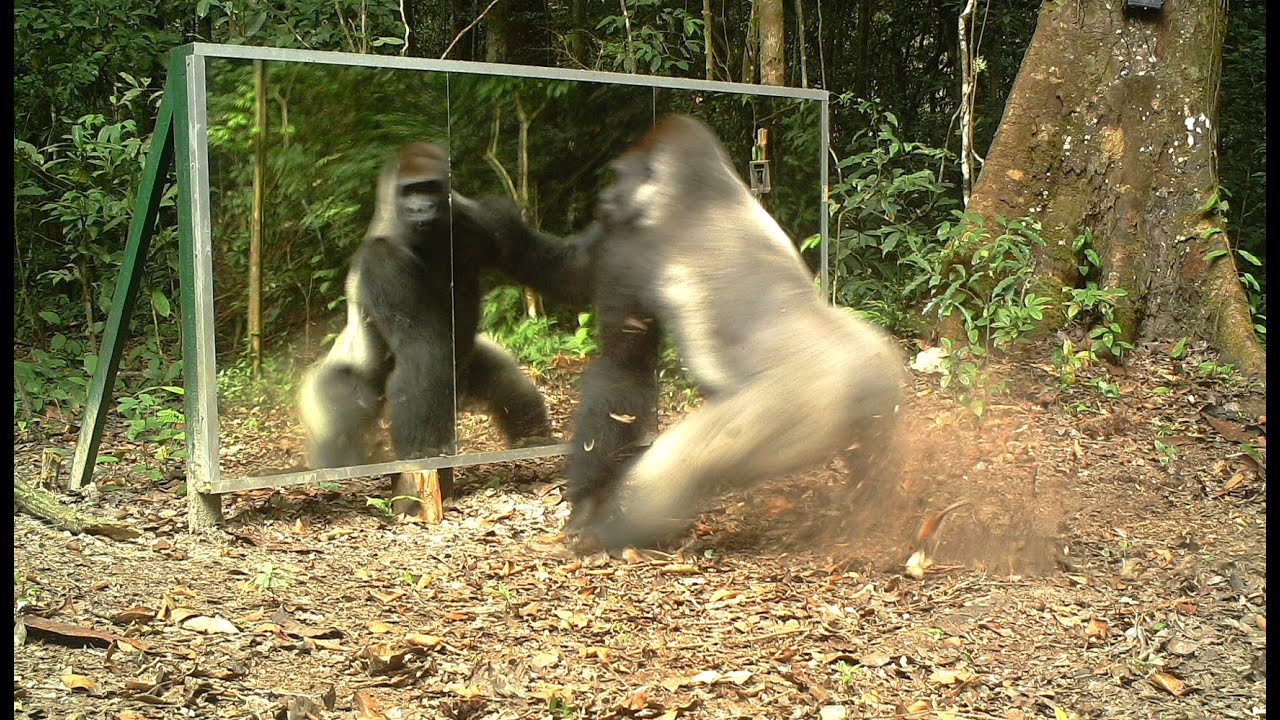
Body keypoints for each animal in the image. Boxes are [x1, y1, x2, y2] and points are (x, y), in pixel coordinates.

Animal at [302, 141, 596, 486]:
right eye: (410, 191)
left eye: (429, 187)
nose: (421, 209)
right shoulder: (382, 261)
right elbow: (421, 348)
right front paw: (422, 453)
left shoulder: (488, 217)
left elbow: (555, 266)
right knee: (340, 419)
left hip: (464, 374)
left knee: (506, 383)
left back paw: (533, 439)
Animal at [565, 114, 906, 545]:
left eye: (620, 176)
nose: (605, 200)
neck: (691, 185)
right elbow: (625, 372)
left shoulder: (630, 247)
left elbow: (620, 368)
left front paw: (585, 500)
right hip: (880, 388)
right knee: (874, 453)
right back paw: (873, 505)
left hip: (797, 405)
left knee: (681, 464)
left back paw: (615, 532)